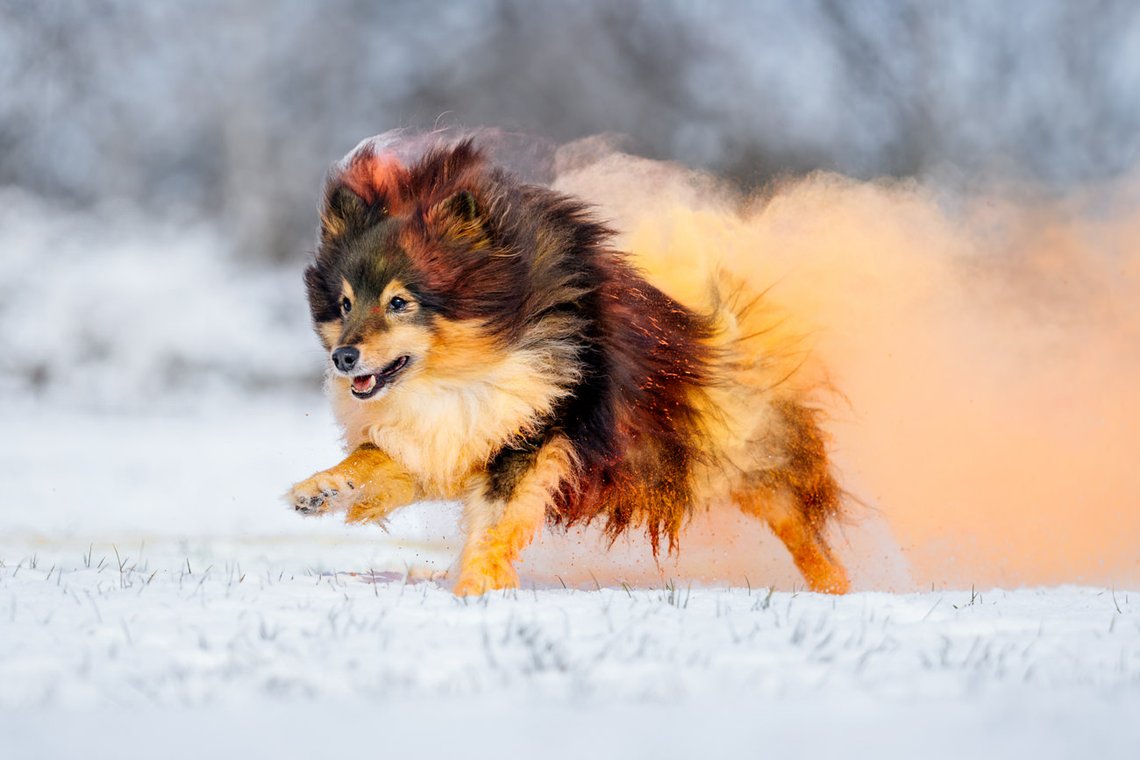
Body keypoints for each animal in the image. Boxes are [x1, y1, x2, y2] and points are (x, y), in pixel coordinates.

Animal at [289, 139, 852, 597]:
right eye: (344, 304)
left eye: (399, 302)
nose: (343, 357)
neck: (468, 370)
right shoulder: (457, 431)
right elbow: (373, 458)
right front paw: (320, 490)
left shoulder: (535, 433)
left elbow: (496, 523)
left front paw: (477, 585)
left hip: (742, 457)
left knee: (802, 527)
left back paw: (837, 586)